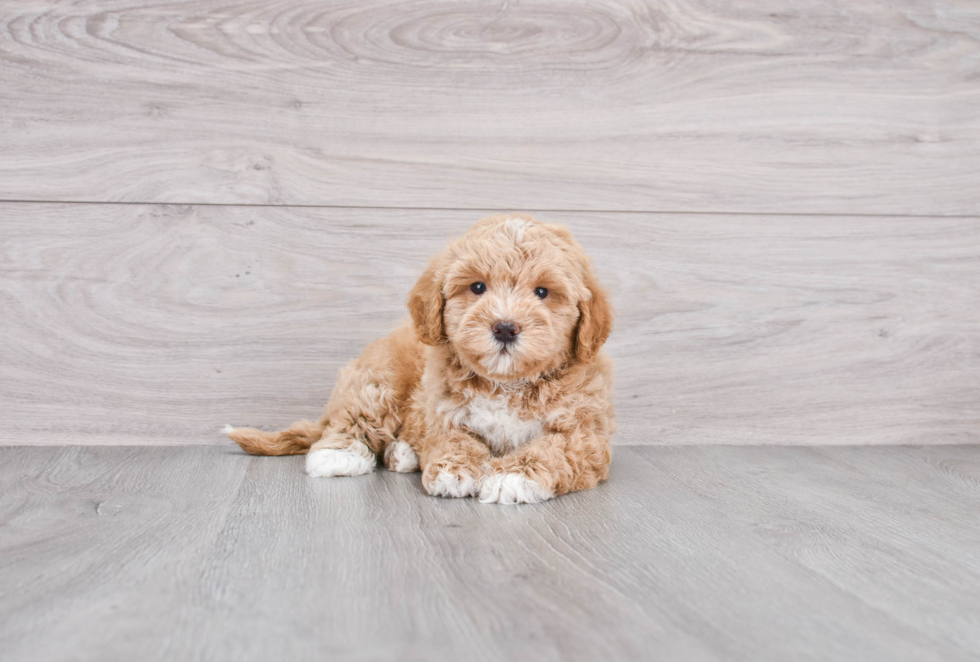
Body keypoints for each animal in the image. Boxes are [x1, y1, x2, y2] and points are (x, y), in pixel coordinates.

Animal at [226, 215, 616, 506]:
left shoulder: (584, 434)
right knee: (354, 418)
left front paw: (512, 475)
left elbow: (552, 449)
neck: (506, 382)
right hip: (379, 380)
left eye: (542, 292)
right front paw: (453, 471)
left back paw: (402, 454)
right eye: (477, 287)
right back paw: (339, 454)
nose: (505, 327)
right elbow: (453, 441)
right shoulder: (445, 416)